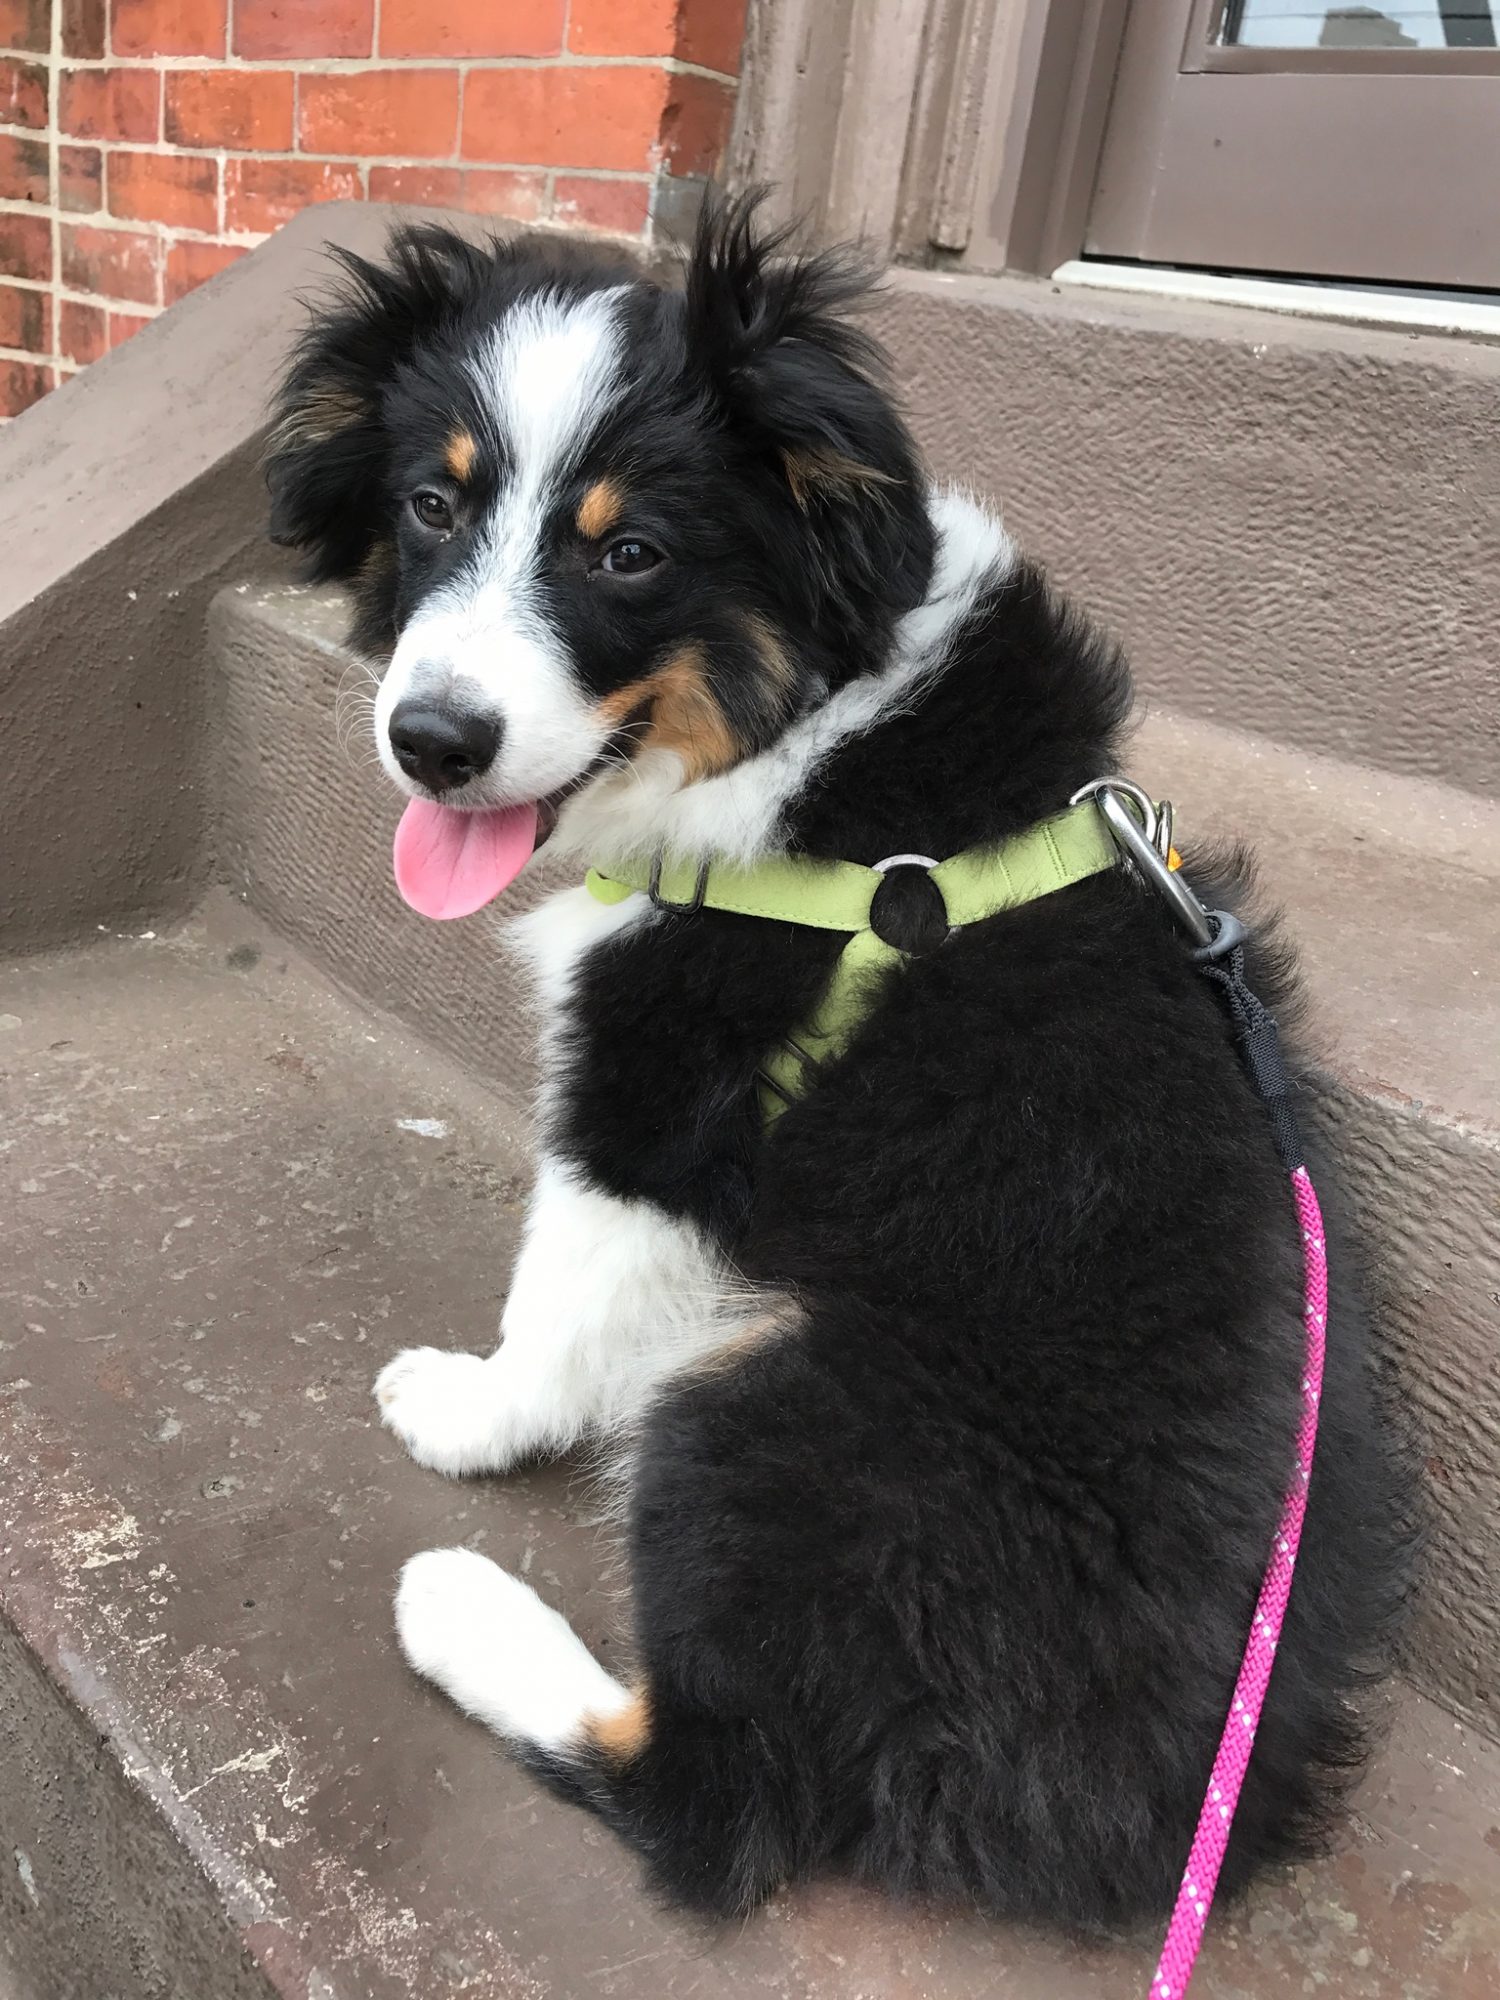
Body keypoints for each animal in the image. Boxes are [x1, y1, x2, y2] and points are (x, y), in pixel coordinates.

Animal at [267, 197, 1412, 1933]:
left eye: (630, 552)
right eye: (430, 503)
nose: (434, 742)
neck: (798, 729)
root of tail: (1137, 1816)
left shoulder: (659, 1087)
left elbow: (560, 1298)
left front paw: (469, 1412)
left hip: (766, 1397)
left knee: (713, 1798)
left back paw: (462, 1611)